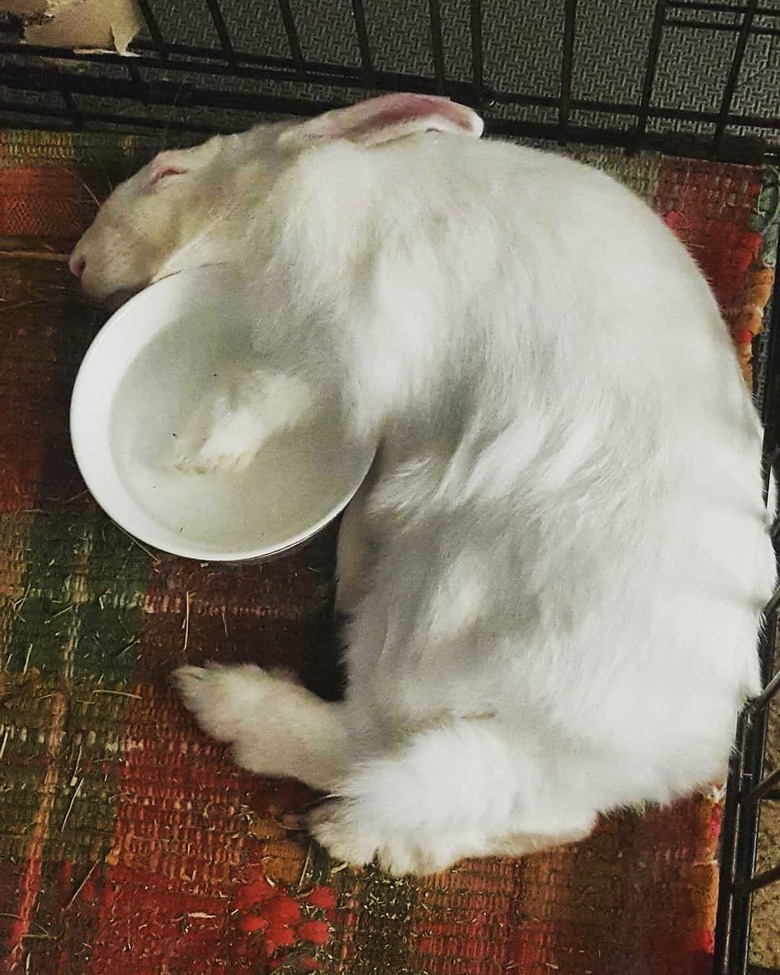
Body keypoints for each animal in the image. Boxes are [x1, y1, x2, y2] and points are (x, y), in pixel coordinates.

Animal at [71, 93, 772, 876]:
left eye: (168, 172)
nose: (74, 263)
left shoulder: (347, 338)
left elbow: (271, 389)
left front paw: (201, 446)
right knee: (542, 817)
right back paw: (375, 840)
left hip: (419, 615)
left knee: (366, 746)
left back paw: (228, 704)